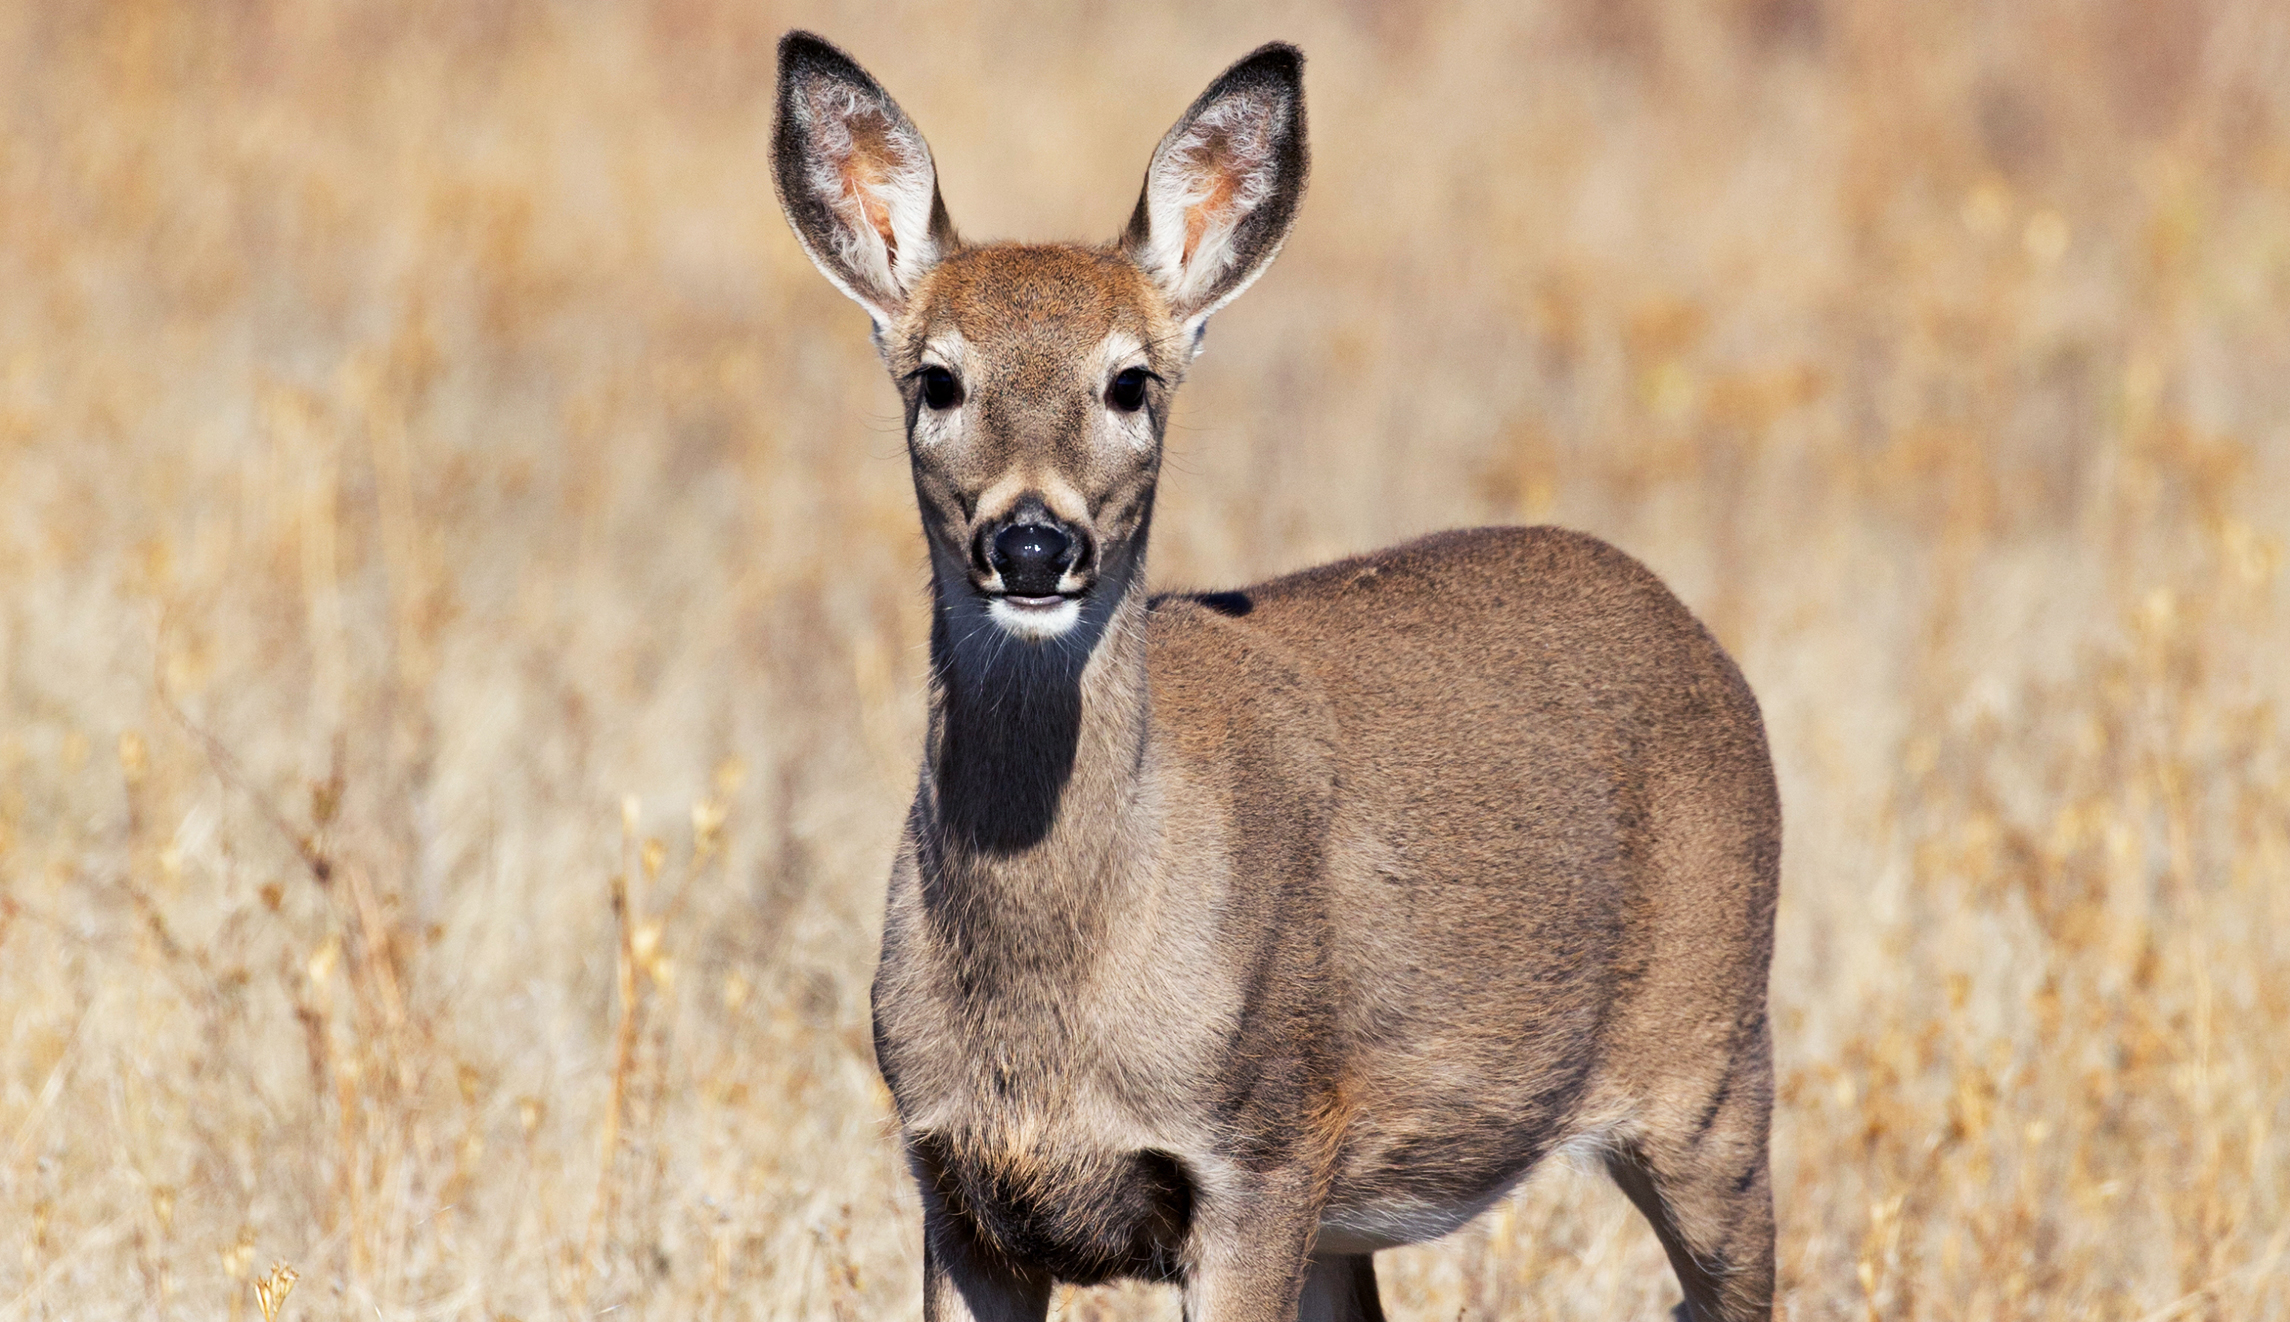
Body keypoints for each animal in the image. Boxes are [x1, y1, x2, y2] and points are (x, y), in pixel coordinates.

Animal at [768, 31, 1780, 1322]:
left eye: (1131, 381)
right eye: (937, 379)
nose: (1034, 543)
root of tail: (1700, 638)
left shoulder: (1258, 1148)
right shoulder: (953, 1184)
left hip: (1713, 1070)